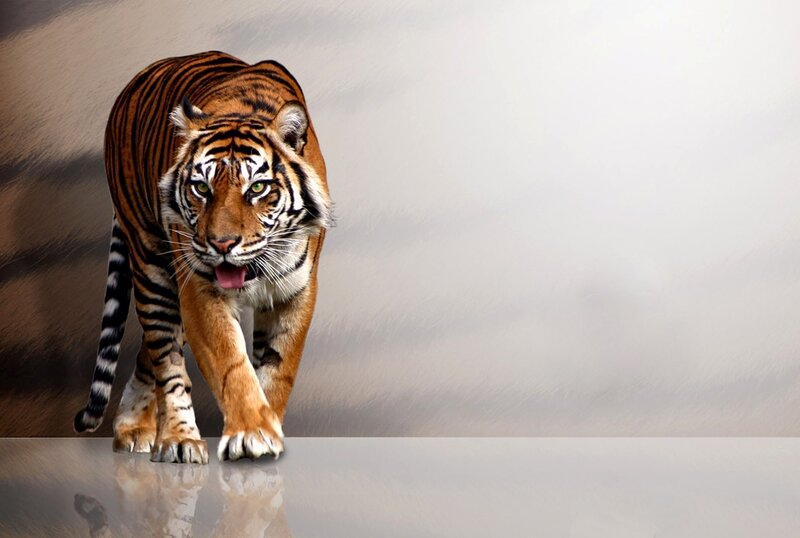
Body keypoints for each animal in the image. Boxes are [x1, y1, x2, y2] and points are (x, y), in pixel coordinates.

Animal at [73, 51, 332, 464]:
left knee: (149, 355)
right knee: (166, 360)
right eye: (201, 188)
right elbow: (231, 365)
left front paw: (268, 427)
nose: (222, 244)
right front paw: (251, 431)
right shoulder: (198, 289)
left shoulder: (297, 291)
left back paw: (134, 426)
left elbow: (278, 368)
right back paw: (174, 438)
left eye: (257, 188)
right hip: (151, 268)